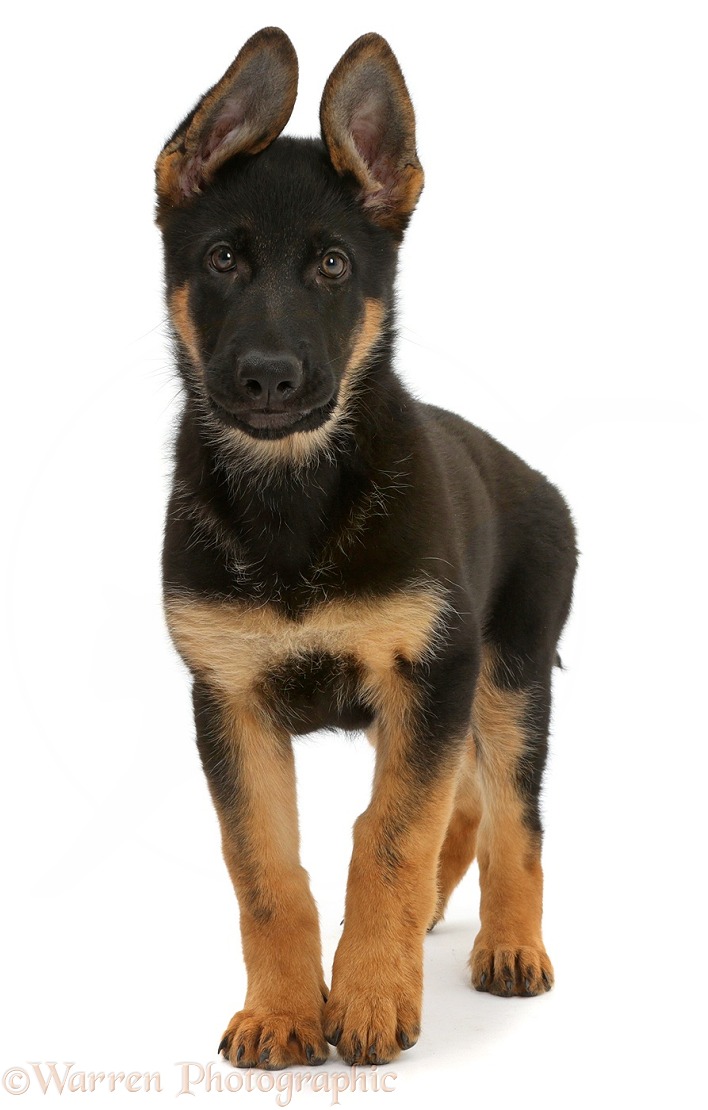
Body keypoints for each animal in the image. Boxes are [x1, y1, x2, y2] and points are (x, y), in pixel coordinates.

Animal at [154, 26, 577, 1065]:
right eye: (222, 258)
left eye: (335, 267)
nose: (269, 380)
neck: (294, 498)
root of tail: (539, 482)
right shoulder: (230, 701)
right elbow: (267, 871)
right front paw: (283, 1011)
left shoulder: (431, 673)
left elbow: (388, 838)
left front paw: (374, 994)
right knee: (458, 808)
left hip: (509, 679)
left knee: (514, 820)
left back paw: (510, 945)